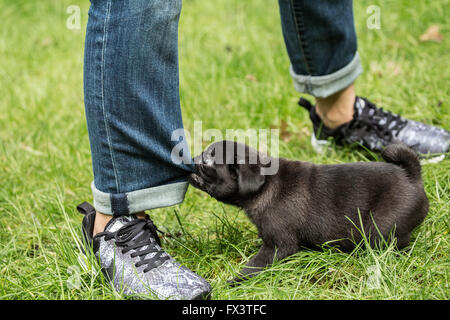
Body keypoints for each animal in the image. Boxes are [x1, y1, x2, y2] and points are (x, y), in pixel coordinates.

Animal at [189, 140, 428, 282]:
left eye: (208, 161)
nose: (193, 158)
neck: (266, 185)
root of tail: (411, 176)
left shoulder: (277, 246)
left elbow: (255, 265)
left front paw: (234, 281)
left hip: (380, 229)